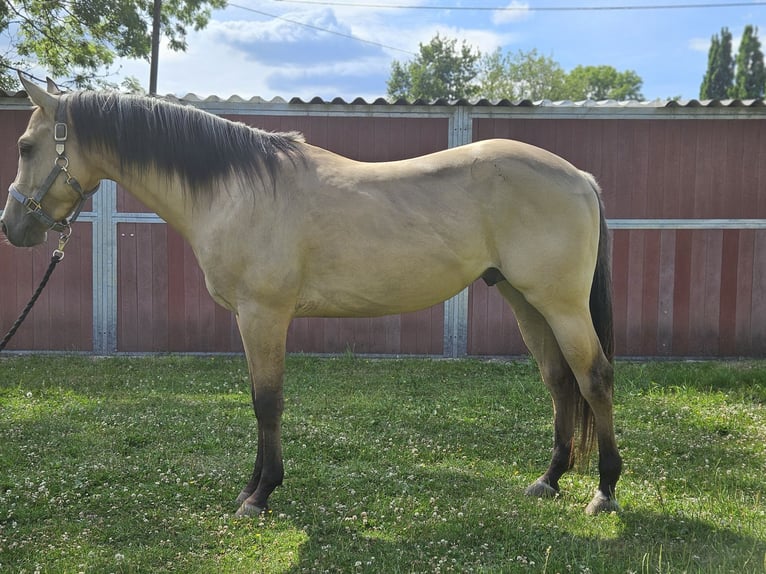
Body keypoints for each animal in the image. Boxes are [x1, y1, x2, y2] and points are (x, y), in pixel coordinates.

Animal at [1, 75, 622, 516]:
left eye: (27, 145)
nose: (12, 226)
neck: (239, 190)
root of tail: (581, 178)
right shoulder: (251, 320)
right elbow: (259, 400)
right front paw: (252, 487)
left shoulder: (264, 315)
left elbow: (267, 402)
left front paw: (260, 495)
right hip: (524, 299)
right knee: (559, 380)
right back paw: (549, 480)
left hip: (561, 305)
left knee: (593, 378)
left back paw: (605, 490)